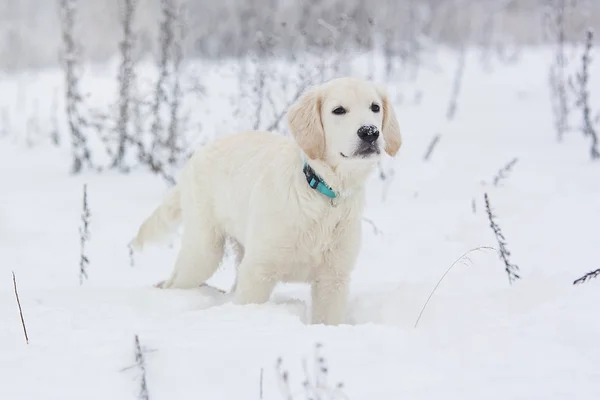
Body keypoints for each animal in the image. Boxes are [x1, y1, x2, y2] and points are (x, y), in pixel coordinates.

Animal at [132, 76, 404, 324]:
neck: (323, 193)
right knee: (175, 282)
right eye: (338, 110)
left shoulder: (334, 279)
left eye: (375, 107)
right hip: (203, 251)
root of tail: (196, 155)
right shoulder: (258, 271)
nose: (370, 132)